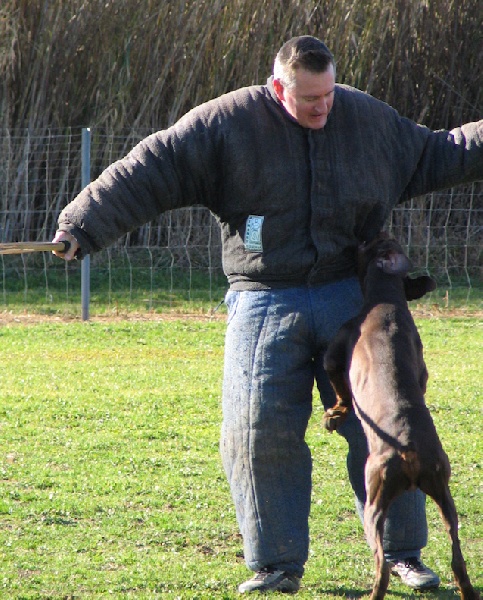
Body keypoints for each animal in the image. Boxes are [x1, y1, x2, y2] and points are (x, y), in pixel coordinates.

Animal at [324, 233, 478, 600]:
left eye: (372, 243)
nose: (376, 232)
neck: (387, 301)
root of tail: (409, 450)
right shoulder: (422, 370)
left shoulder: (335, 355)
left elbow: (340, 390)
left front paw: (335, 413)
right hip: (444, 494)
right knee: (457, 558)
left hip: (374, 501)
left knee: (381, 565)